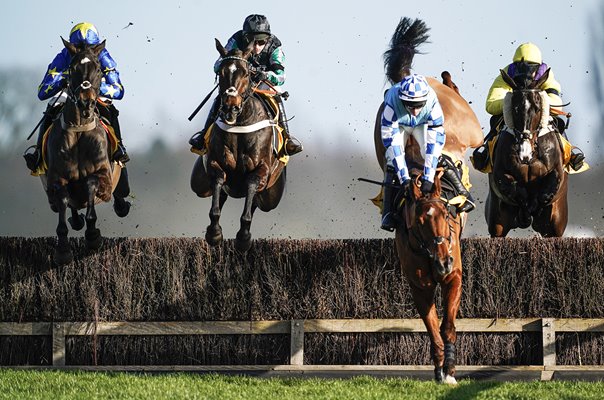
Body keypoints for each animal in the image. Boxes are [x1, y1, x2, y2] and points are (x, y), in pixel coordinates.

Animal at [43, 38, 131, 266]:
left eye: (99, 68)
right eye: (72, 68)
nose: (85, 102)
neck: (79, 132)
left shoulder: (104, 176)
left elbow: (91, 183)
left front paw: (92, 237)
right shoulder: (56, 180)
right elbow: (63, 202)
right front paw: (63, 250)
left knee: (120, 197)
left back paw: (121, 206)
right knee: (71, 208)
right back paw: (75, 219)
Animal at [193, 40, 288, 253]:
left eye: (245, 73)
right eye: (221, 72)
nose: (230, 106)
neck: (240, 122)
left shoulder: (262, 169)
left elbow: (251, 184)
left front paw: (243, 238)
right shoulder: (215, 164)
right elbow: (218, 181)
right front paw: (214, 233)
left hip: (271, 196)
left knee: (255, 200)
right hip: (199, 184)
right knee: (219, 194)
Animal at [372, 16, 482, 384]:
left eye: (448, 217)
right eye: (419, 223)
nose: (442, 262)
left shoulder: (455, 276)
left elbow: (448, 326)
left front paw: (451, 369)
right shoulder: (419, 283)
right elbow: (432, 328)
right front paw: (439, 368)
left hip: (468, 126)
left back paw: (451, 81)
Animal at [484, 63, 568, 236]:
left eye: (537, 108)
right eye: (514, 108)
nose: (524, 152)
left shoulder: (556, 171)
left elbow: (545, 194)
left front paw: (533, 208)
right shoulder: (500, 174)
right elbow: (516, 190)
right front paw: (526, 212)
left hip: (557, 223)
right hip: (496, 222)